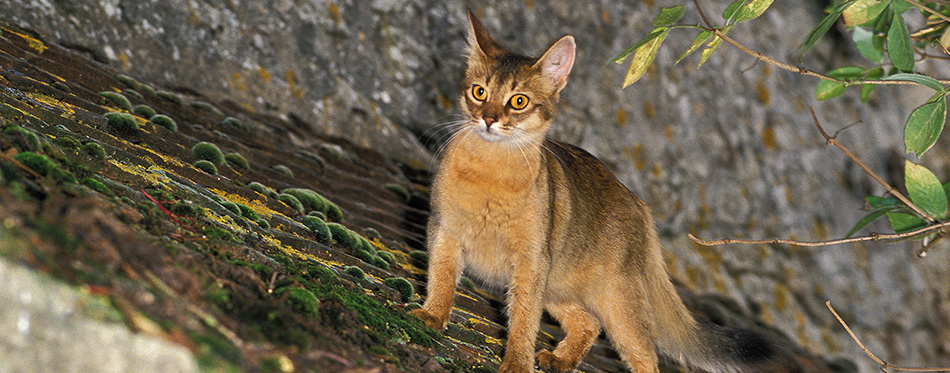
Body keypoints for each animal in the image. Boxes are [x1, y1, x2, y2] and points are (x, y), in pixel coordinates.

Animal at [410, 10, 788, 370]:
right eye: (480, 92)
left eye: (518, 101)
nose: (488, 120)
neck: (490, 177)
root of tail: (638, 203)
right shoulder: (443, 231)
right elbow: (441, 279)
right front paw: (431, 316)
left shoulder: (531, 261)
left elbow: (523, 321)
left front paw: (516, 362)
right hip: (560, 286)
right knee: (588, 323)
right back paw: (560, 360)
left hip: (616, 299)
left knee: (645, 354)